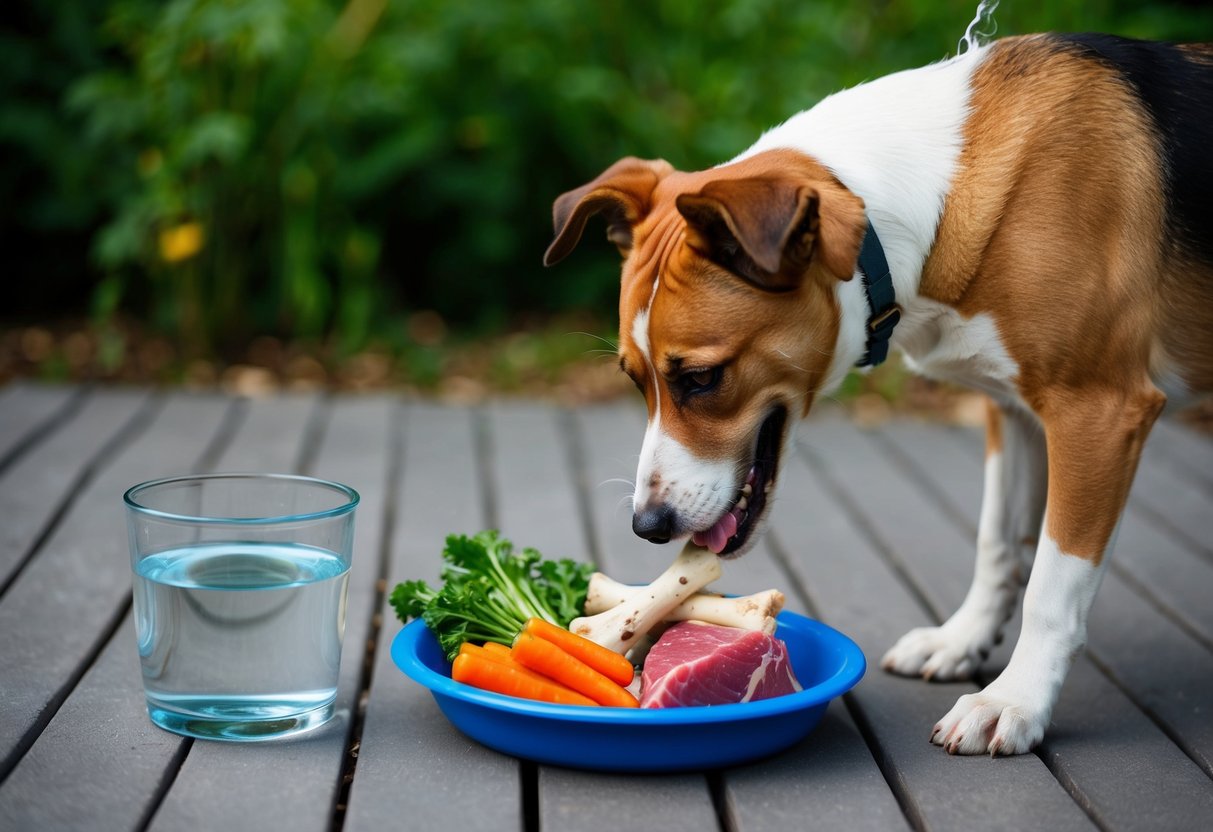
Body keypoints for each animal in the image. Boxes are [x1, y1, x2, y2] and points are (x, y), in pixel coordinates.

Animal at [543, 34, 1213, 756]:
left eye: (700, 378)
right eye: (634, 380)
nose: (648, 527)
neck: (914, 216)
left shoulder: (1097, 412)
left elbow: (1051, 586)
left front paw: (1015, 699)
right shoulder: (1013, 410)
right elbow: (997, 543)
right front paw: (963, 640)